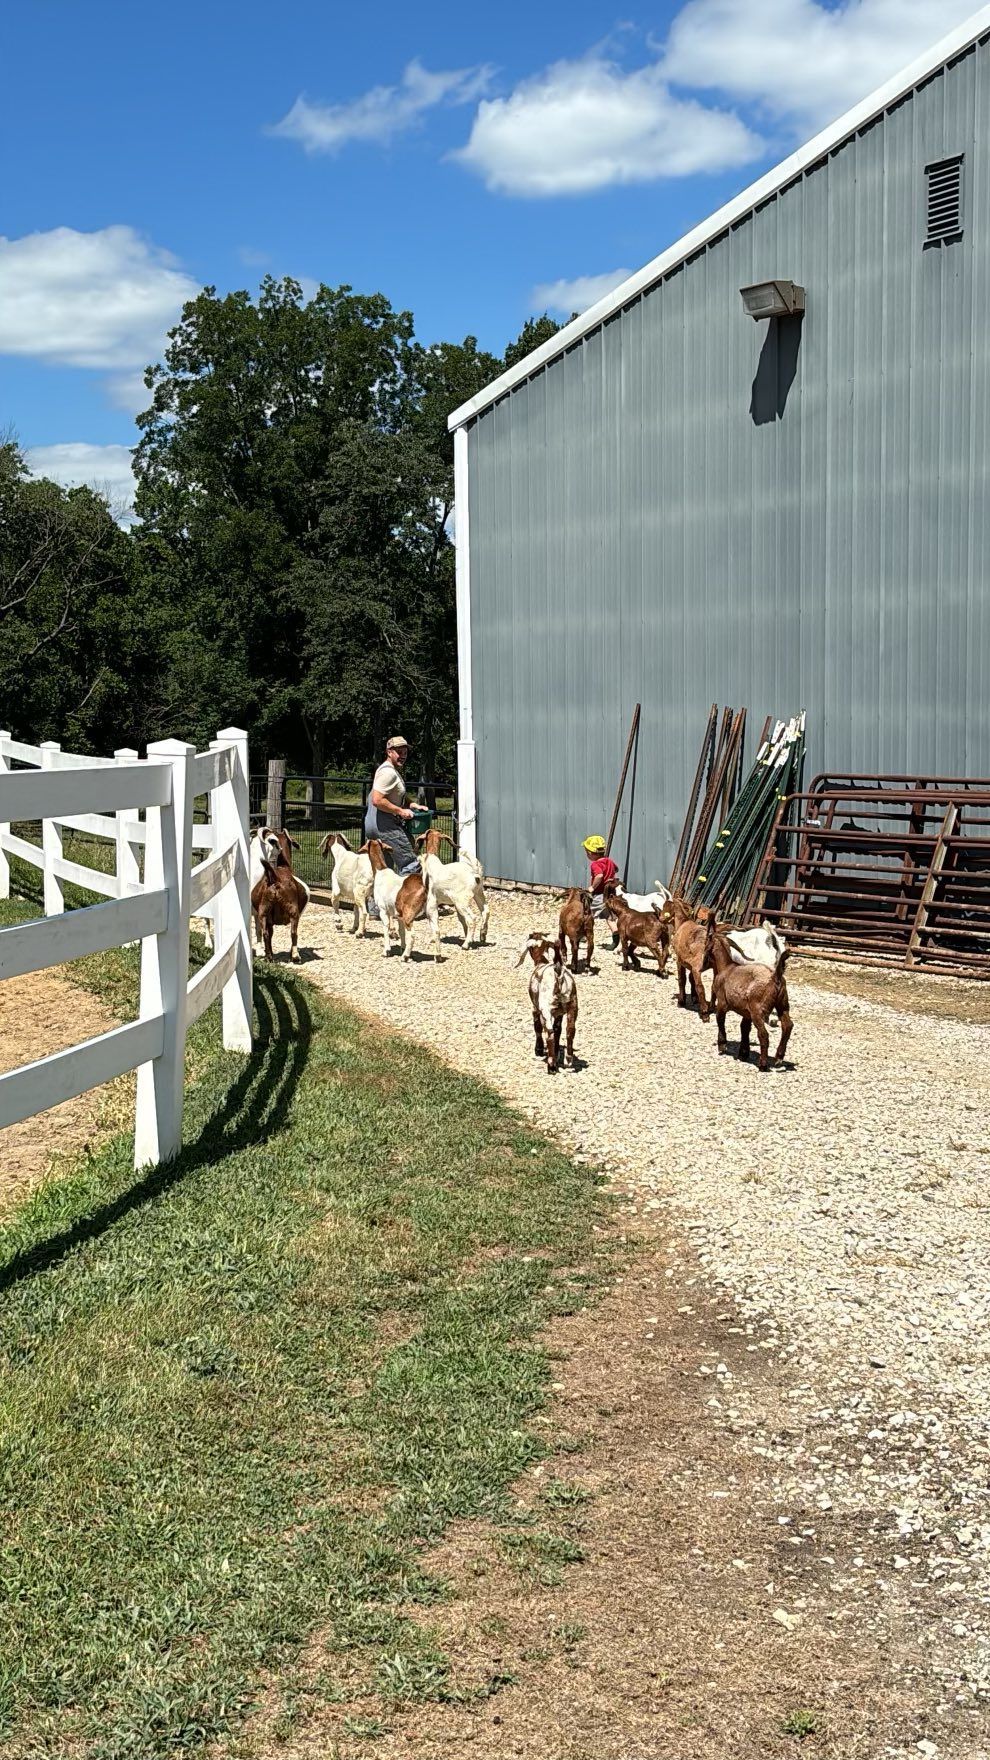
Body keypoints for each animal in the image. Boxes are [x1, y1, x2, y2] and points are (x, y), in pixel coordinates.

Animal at [251, 826, 309, 962]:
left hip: (263, 910)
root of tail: (274, 879)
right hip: (293, 910)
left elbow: (269, 933)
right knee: (293, 932)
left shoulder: (269, 918)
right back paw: (295, 956)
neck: (284, 867)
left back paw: (269, 956)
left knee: (265, 933)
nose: (280, 849)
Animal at [516, 933, 578, 1074]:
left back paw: (551, 1066)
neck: (542, 961)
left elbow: (537, 1027)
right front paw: (556, 1050)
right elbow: (558, 1029)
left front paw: (538, 1050)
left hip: (546, 1008)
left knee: (549, 1032)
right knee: (570, 1030)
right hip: (572, 1005)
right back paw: (568, 1060)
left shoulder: (535, 1008)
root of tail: (558, 974)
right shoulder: (559, 1013)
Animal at [707, 918, 794, 1070]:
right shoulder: (746, 1012)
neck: (726, 966)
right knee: (787, 1025)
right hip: (783, 1004)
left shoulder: (722, 1003)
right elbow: (744, 1028)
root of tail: (775, 977)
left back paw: (763, 1064)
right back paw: (778, 1058)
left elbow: (720, 1020)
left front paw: (722, 1046)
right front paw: (743, 1053)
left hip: (758, 1010)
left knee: (764, 1034)